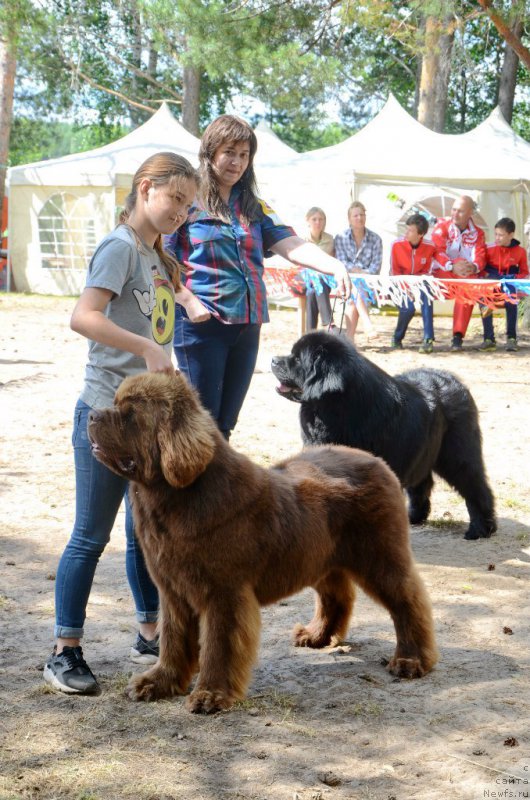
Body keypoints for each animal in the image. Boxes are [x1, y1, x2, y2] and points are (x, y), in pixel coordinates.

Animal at [86, 372, 436, 716]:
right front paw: (158, 683)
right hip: (320, 557)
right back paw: (316, 636)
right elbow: (173, 640)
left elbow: (219, 645)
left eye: (130, 413)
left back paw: (411, 660)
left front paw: (210, 695)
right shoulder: (173, 591)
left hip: (380, 555)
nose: (90, 414)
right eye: (115, 402)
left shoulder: (223, 593)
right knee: (338, 596)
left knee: (408, 600)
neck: (174, 496)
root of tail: (376, 460)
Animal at [272, 332, 496, 544]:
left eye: (297, 359)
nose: (273, 359)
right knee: (421, 483)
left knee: (475, 486)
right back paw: (414, 517)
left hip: (457, 455)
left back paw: (481, 529)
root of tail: (455, 380)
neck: (337, 407)